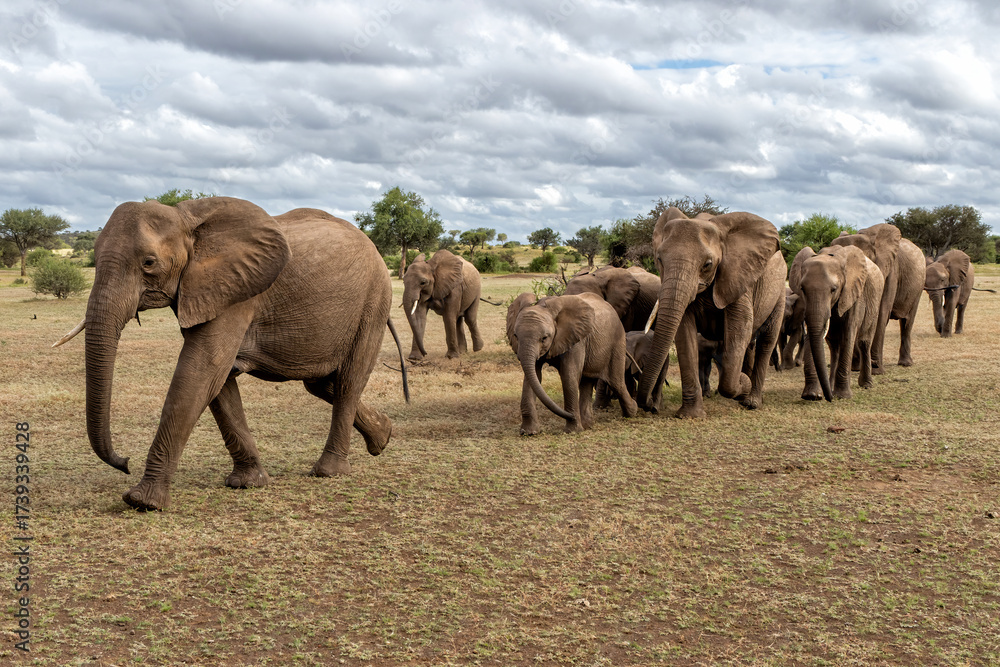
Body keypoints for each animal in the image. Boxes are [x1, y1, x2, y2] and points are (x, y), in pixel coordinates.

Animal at [55, 197, 404, 511]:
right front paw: (248, 483)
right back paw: (384, 436)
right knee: (320, 383)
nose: (125, 461)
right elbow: (218, 382)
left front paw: (143, 501)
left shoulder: (237, 294)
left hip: (374, 301)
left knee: (348, 381)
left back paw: (329, 472)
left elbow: (203, 369)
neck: (186, 219)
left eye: (149, 263)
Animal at [506, 292, 638, 434]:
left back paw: (632, 412)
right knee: (587, 382)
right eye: (516, 336)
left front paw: (573, 430)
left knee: (616, 381)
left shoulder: (576, 339)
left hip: (617, 342)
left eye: (544, 338)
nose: (570, 415)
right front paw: (529, 433)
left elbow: (568, 375)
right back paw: (587, 425)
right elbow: (533, 376)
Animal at [635, 208, 786, 418]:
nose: (649, 405)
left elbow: (741, 326)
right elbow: (684, 333)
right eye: (659, 260)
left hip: (779, 290)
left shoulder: (737, 275)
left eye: (707, 264)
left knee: (767, 340)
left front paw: (742, 383)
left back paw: (752, 401)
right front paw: (690, 415)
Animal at [789, 245, 884, 401]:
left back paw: (866, 385)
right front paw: (812, 395)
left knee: (864, 342)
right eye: (802, 289)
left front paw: (842, 396)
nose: (829, 398)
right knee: (834, 346)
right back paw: (831, 385)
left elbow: (848, 334)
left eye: (833, 289)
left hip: (876, 302)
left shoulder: (853, 293)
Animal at [830, 224, 924, 372]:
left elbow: (881, 311)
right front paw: (856, 367)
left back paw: (906, 364)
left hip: (918, 288)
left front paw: (875, 369)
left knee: (907, 322)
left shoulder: (892, 269)